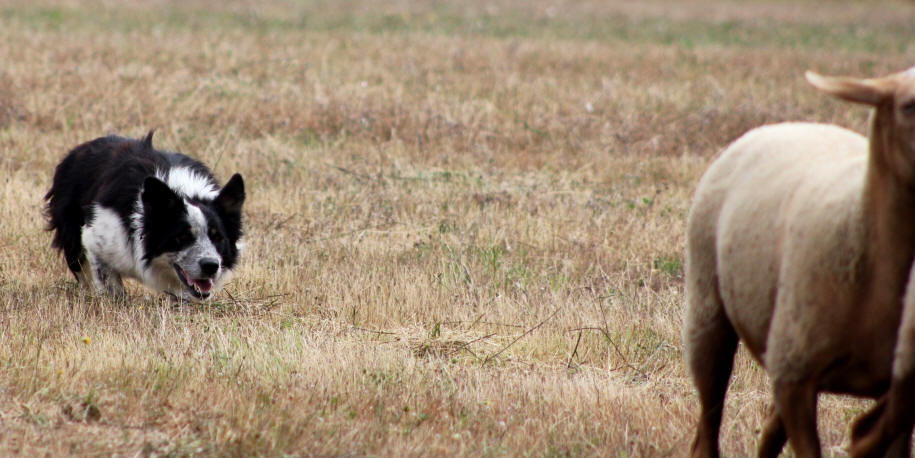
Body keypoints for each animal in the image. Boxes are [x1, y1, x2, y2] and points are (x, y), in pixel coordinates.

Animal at [44, 131, 245, 300]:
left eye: (218, 237)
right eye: (182, 237)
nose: (211, 266)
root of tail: (77, 151)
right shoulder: (95, 237)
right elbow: (110, 284)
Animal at [684, 67, 915, 458]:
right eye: (909, 105)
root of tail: (780, 125)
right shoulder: (796, 377)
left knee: (769, 432)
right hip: (709, 313)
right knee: (707, 429)